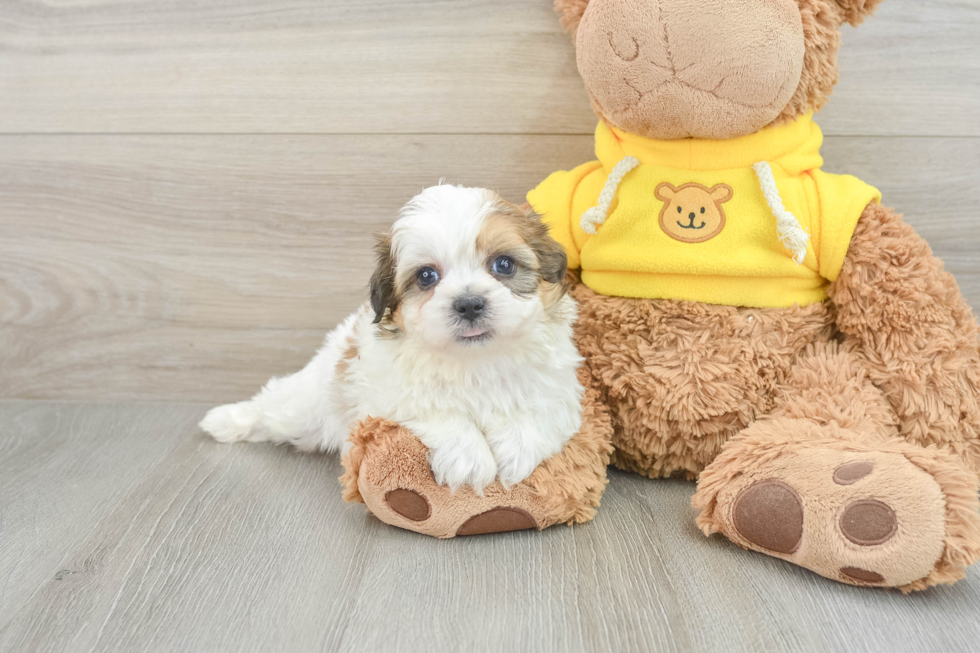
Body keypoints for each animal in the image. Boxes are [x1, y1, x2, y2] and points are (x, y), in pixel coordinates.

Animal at [199, 183, 580, 488]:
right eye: (426, 276)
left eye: (504, 265)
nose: (469, 303)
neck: (475, 359)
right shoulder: (385, 393)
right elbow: (436, 410)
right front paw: (469, 459)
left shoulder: (559, 390)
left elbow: (538, 410)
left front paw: (516, 449)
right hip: (305, 404)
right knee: (272, 407)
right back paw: (225, 420)